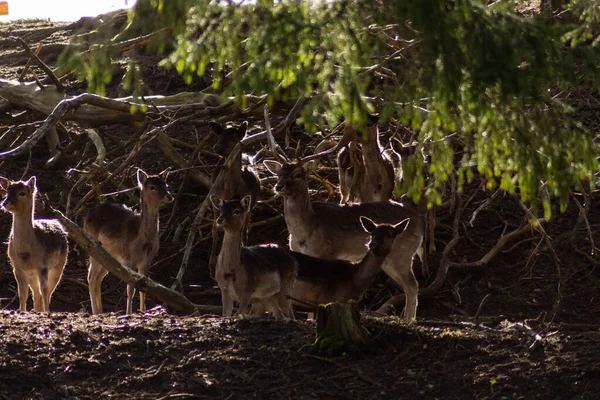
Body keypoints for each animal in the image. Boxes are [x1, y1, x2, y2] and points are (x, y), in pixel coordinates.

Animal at [0, 176, 68, 312]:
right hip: (33, 274)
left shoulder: (43, 266)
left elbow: (45, 290)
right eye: (7, 191)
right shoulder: (18, 268)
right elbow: (22, 294)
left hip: (59, 265)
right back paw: (37, 310)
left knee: (48, 291)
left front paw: (47, 312)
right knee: (36, 293)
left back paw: (42, 310)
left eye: (22, 193)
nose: (5, 203)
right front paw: (22, 311)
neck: (25, 252)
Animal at [82, 170, 172, 316]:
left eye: (165, 184)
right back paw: (96, 312)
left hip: (109, 257)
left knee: (98, 278)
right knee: (91, 276)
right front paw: (128, 313)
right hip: (92, 247)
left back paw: (101, 311)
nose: (169, 196)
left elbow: (144, 288)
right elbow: (131, 289)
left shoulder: (147, 261)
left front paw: (143, 312)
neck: (142, 240)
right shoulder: (129, 260)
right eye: (152, 187)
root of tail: (86, 216)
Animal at [209, 120, 260, 274]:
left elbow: (243, 228)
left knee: (246, 226)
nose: (217, 147)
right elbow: (214, 228)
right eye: (218, 136)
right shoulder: (215, 204)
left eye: (234, 138)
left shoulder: (247, 204)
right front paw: (211, 263)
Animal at [264, 155, 424, 324]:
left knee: (413, 285)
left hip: (402, 254)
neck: (305, 232)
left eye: (297, 174)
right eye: (278, 174)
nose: (278, 186)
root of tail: (420, 220)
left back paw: (409, 321)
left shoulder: (327, 252)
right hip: (391, 259)